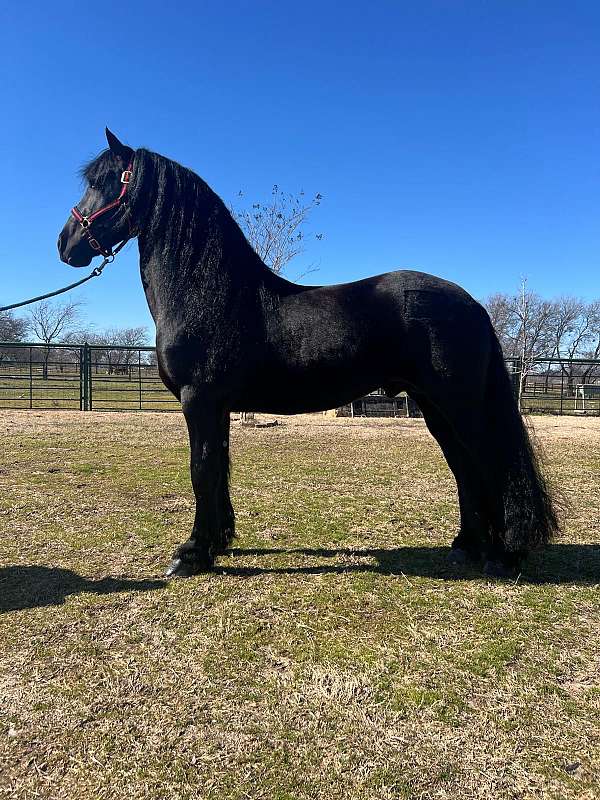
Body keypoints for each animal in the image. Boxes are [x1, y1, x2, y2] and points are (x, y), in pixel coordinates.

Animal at [57, 133, 556, 580]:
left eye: (104, 182)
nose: (65, 244)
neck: (209, 293)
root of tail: (472, 304)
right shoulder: (217, 407)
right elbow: (218, 469)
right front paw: (219, 542)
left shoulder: (198, 400)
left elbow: (201, 470)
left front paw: (192, 555)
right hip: (435, 408)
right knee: (464, 468)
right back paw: (466, 547)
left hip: (460, 406)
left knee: (491, 463)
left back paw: (504, 557)